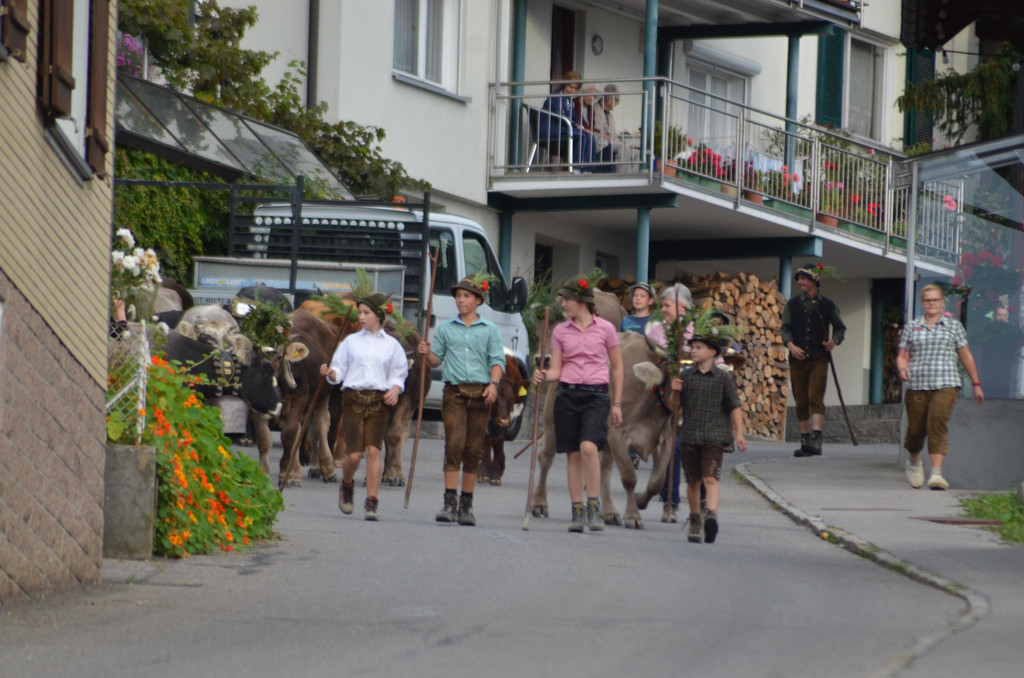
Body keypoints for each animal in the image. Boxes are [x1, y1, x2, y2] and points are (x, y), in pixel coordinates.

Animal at [479, 349, 530, 486]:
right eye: (493, 400)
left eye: (512, 399)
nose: (503, 421)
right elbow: (484, 442)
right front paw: (483, 472)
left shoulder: (508, 418)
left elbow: (497, 443)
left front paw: (496, 473)